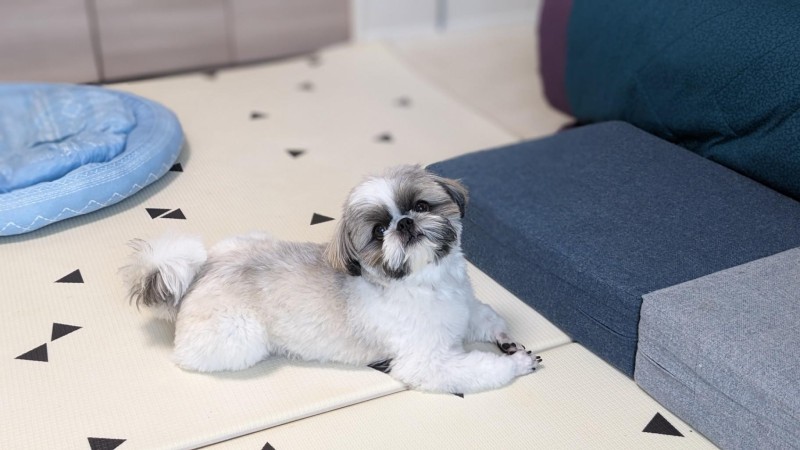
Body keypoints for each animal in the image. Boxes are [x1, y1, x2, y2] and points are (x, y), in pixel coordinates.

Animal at [121, 165, 541, 393]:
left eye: (421, 205)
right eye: (378, 231)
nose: (404, 223)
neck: (429, 282)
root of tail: (201, 274)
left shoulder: (464, 307)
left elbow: (487, 318)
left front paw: (507, 341)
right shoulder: (429, 362)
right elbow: (479, 369)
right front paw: (517, 365)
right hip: (239, 339)